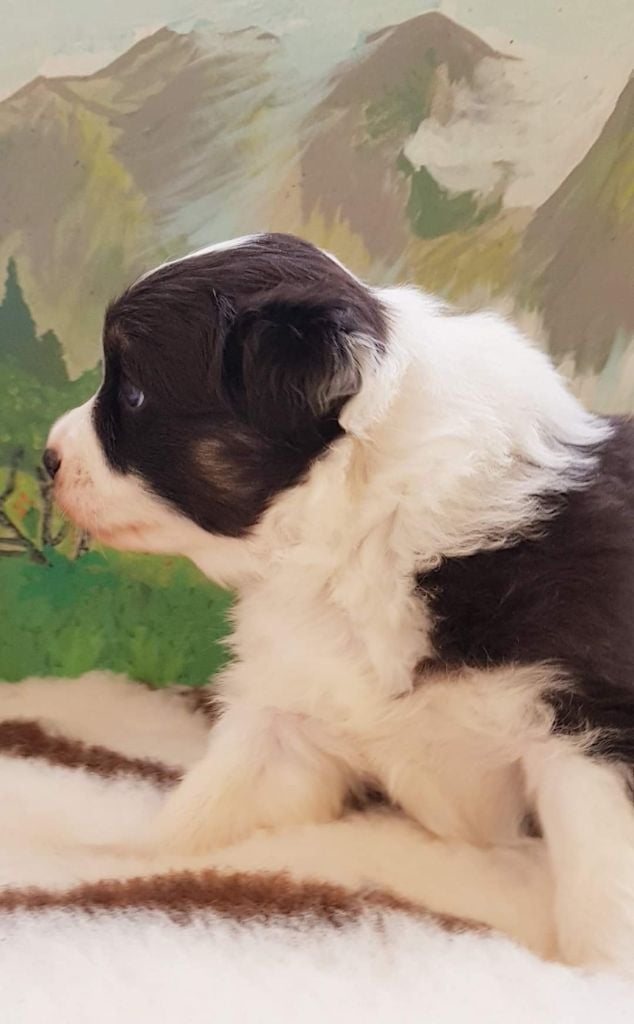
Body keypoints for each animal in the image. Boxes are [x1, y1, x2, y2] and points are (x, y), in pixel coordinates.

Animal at [46, 232, 634, 973]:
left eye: (132, 392)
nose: (46, 457)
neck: (373, 528)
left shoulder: (592, 736)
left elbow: (603, 884)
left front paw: (598, 975)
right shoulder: (290, 719)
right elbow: (200, 812)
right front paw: (107, 861)